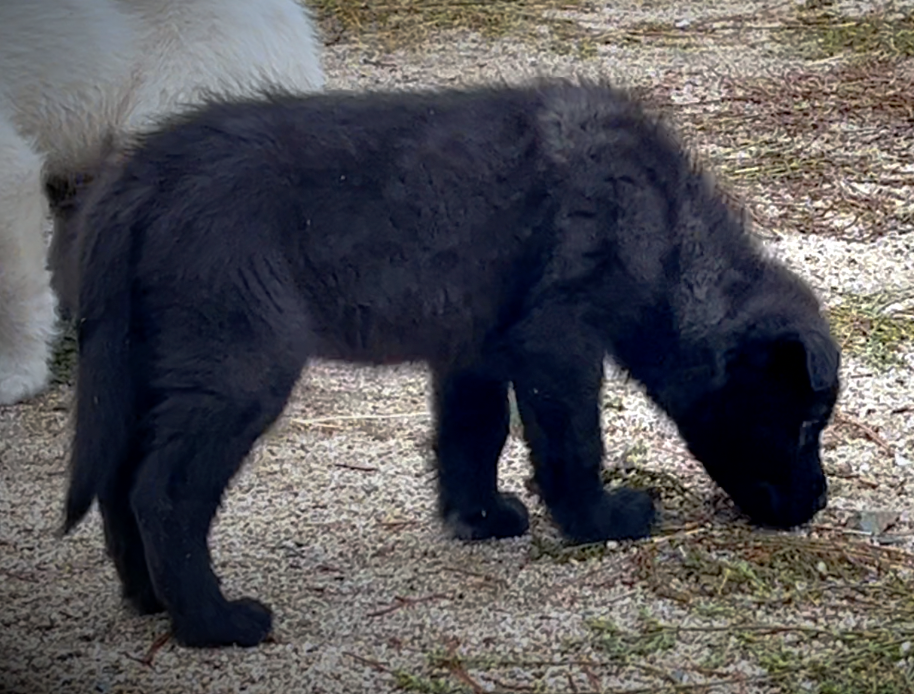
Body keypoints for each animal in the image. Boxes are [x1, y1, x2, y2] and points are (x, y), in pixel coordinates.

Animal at [60, 79, 836, 648]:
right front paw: (597, 521)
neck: (664, 233)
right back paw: (211, 623)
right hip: (238, 368)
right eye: (803, 426)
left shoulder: (474, 350)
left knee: (121, 480)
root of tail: (142, 176)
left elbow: (474, 438)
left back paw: (148, 599)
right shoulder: (560, 341)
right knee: (164, 491)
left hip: (146, 363)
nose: (819, 504)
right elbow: (573, 443)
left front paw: (478, 517)